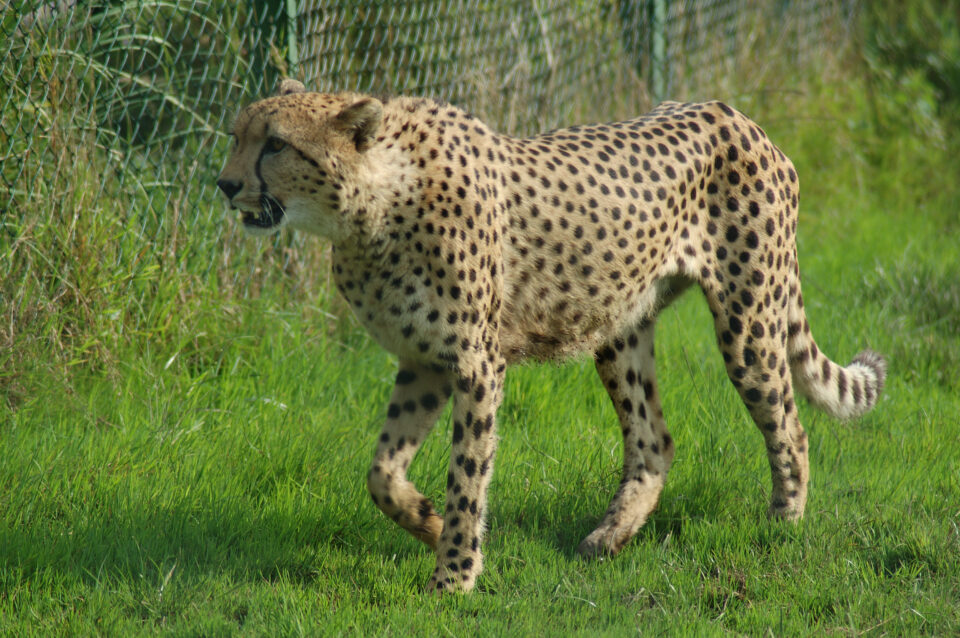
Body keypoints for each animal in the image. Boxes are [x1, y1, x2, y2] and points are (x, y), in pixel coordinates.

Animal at [218, 80, 884, 596]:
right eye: (236, 135)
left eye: (275, 144)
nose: (224, 184)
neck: (374, 205)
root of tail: (737, 115)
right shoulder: (423, 362)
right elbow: (380, 474)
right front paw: (429, 525)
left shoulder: (475, 363)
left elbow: (468, 475)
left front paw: (454, 577)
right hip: (618, 327)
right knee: (654, 440)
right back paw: (609, 537)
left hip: (748, 322)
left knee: (789, 426)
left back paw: (782, 526)